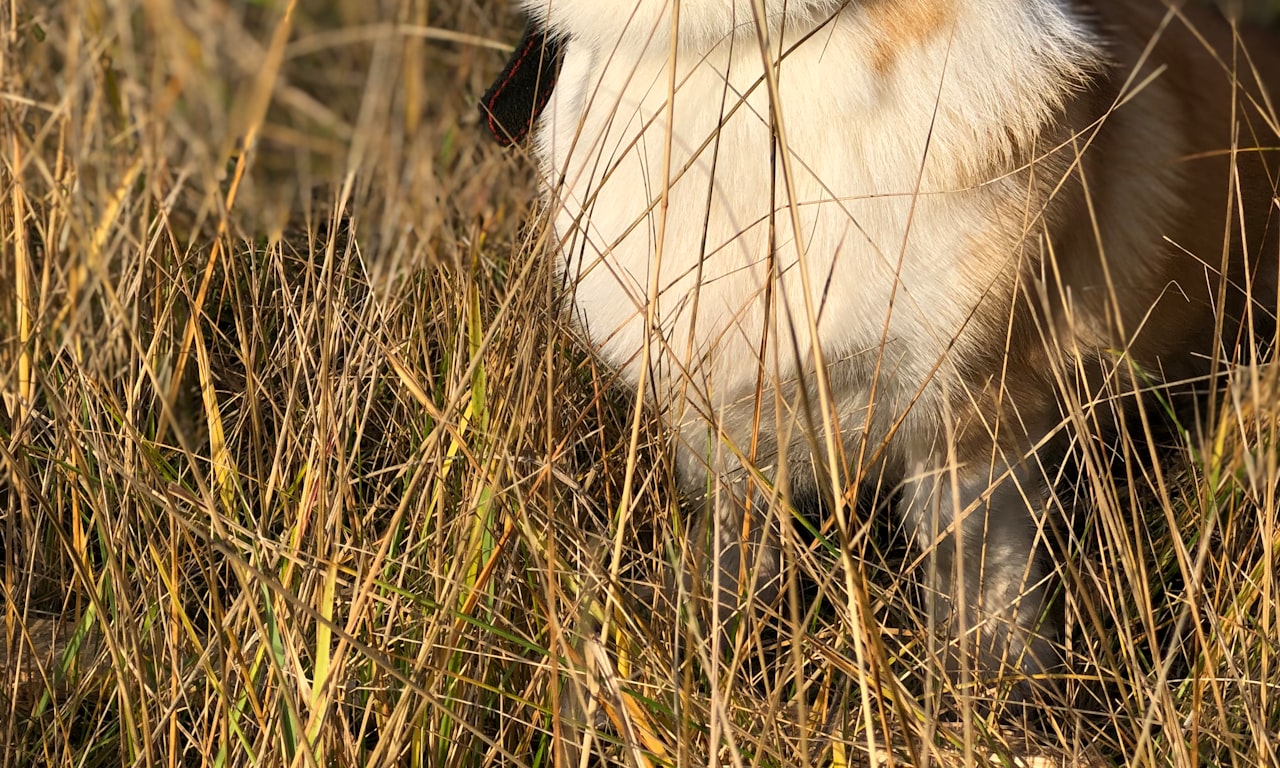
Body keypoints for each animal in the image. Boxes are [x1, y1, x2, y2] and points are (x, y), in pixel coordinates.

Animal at [481, 0, 1280, 706]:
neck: (746, 53)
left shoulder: (971, 424)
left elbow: (982, 611)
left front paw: (995, 714)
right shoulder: (721, 435)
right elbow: (727, 576)